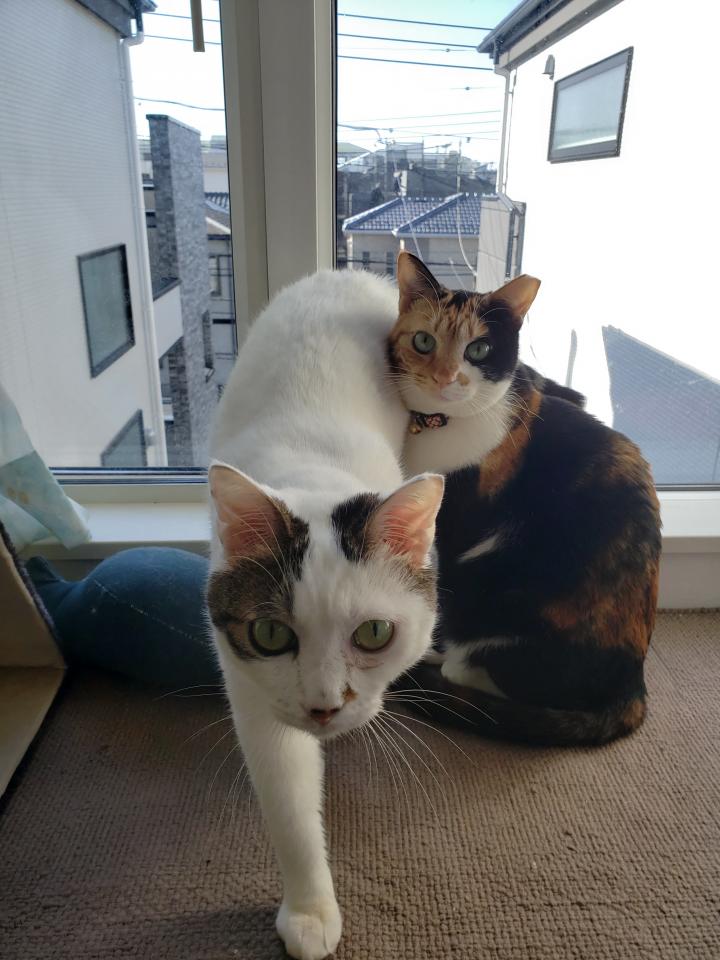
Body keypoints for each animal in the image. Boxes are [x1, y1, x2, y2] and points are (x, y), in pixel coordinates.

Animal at [207, 268, 444, 960]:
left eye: (375, 633)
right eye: (269, 633)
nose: (324, 706)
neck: (311, 476)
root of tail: (342, 271)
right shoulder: (249, 684)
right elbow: (286, 798)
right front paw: (311, 909)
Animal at [389, 251, 661, 746]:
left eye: (478, 350)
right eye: (423, 340)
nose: (445, 378)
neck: (442, 425)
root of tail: (634, 686)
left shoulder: (460, 525)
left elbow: (445, 591)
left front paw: (432, 644)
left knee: (474, 667)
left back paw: (444, 663)